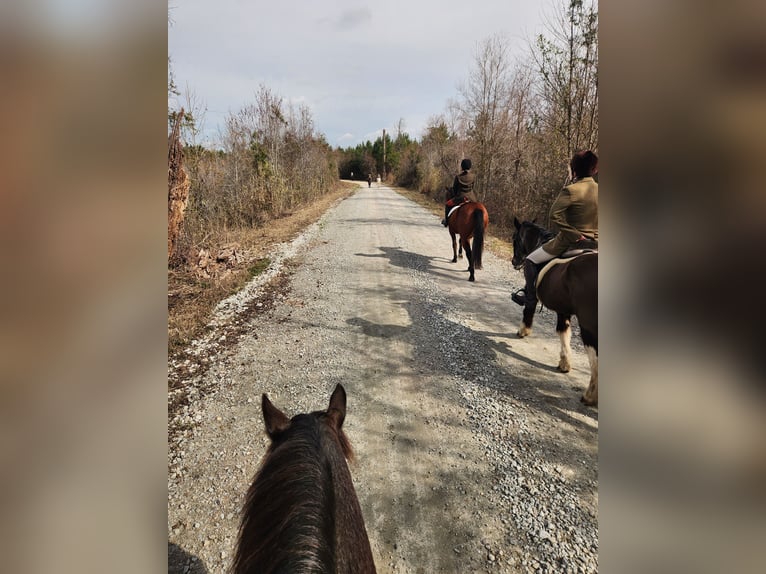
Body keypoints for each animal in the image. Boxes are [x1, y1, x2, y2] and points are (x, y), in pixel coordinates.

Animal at [512, 218, 598, 406]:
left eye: (515, 239)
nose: (514, 261)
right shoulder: (563, 309)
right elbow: (564, 332)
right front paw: (565, 364)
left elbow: (529, 309)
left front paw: (523, 330)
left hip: (588, 323)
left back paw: (590, 395)